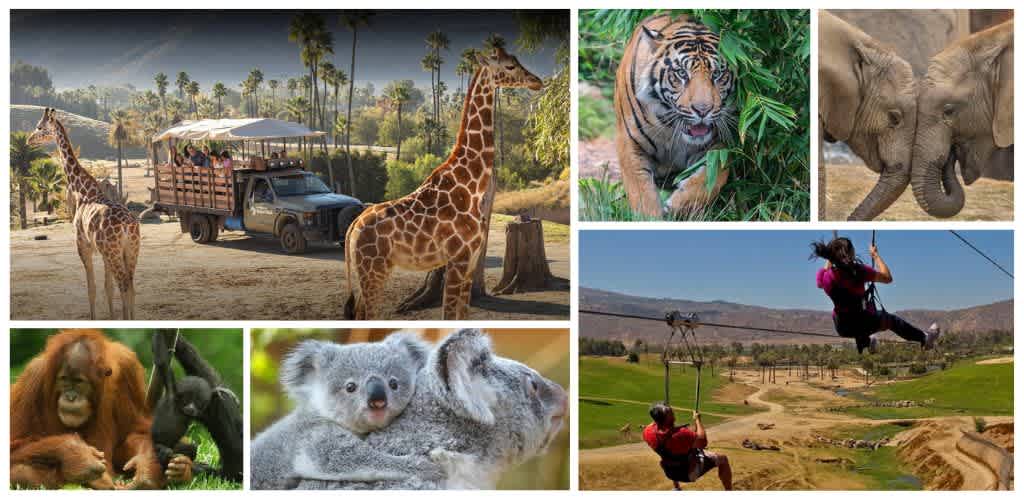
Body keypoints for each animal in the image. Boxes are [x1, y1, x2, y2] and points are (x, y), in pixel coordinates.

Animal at [28, 108, 140, 319]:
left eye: (39, 127)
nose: (29, 139)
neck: (84, 191)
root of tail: (128, 226)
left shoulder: (83, 245)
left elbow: (92, 289)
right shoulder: (103, 252)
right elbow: (107, 287)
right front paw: (112, 318)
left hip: (115, 251)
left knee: (123, 283)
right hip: (130, 249)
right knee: (130, 284)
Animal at [344, 48, 543, 320]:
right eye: (509, 66)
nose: (537, 81)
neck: (471, 187)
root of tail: (352, 227)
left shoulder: (471, 262)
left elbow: (463, 315)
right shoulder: (458, 259)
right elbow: (448, 316)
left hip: (370, 271)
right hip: (374, 269)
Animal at [614, 14, 737, 218]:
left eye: (717, 74)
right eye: (681, 73)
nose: (703, 110)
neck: (670, 127)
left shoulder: (719, 146)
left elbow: (709, 180)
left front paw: (677, 206)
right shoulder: (630, 143)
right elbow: (641, 194)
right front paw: (652, 218)